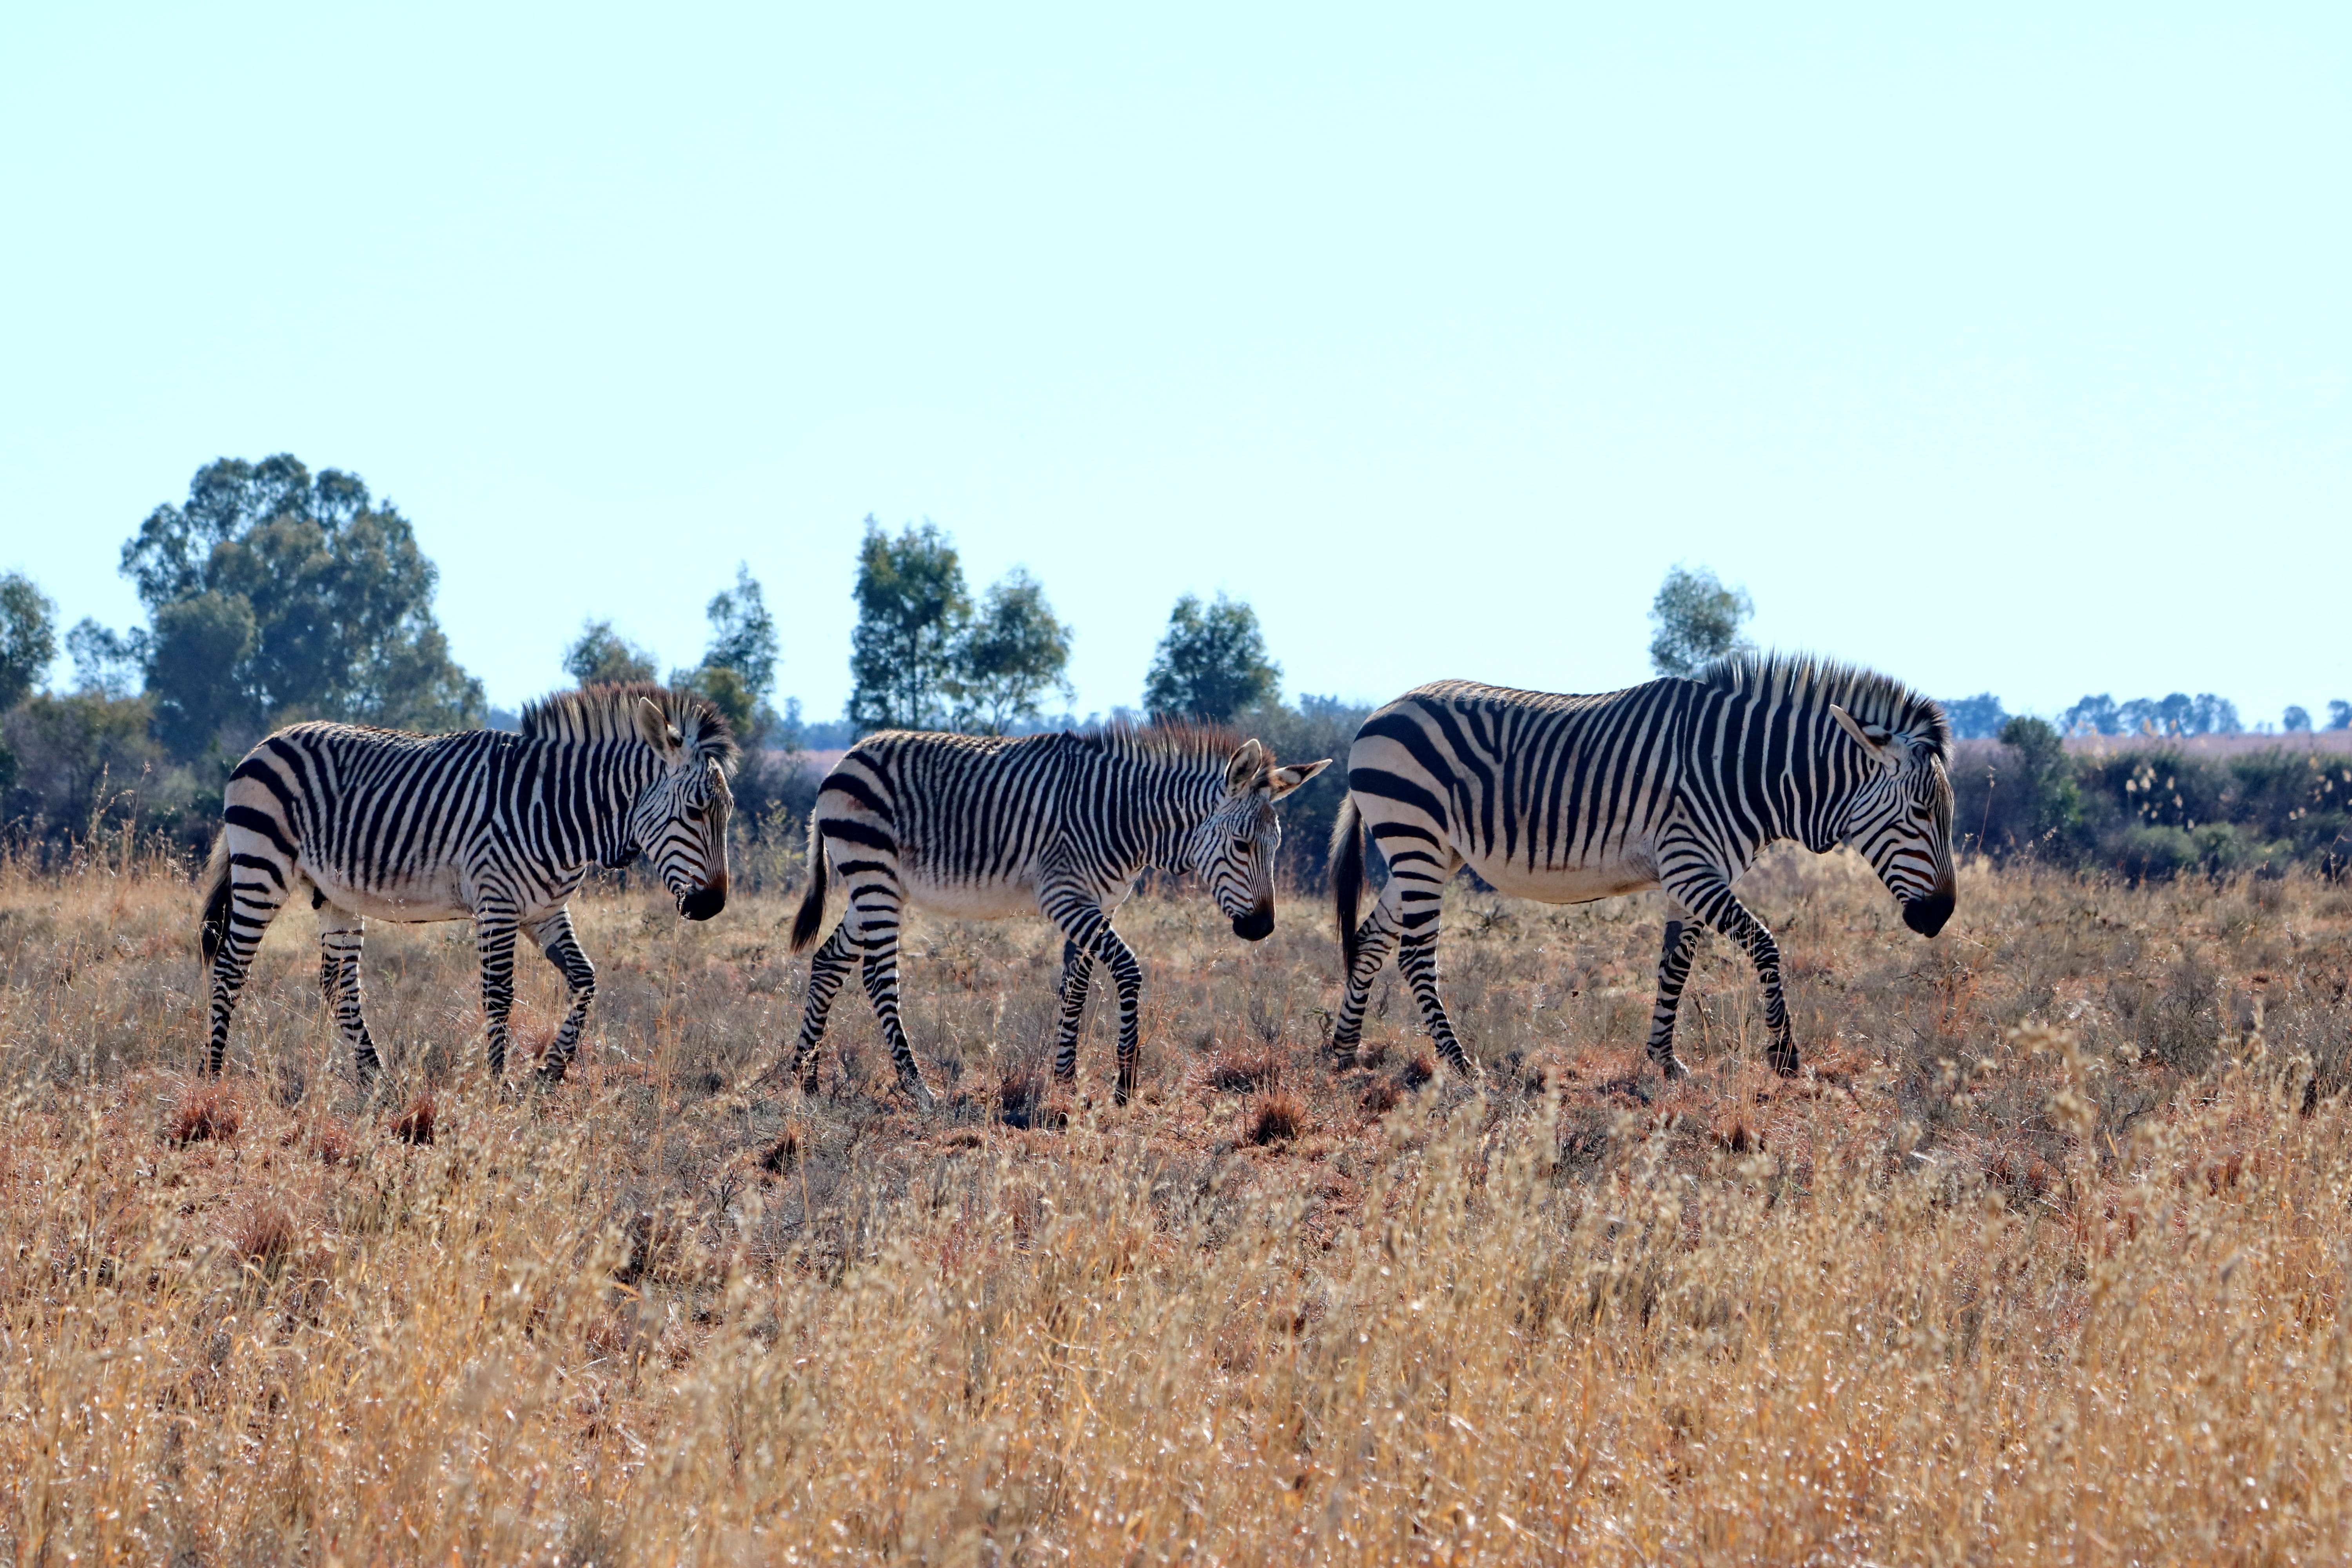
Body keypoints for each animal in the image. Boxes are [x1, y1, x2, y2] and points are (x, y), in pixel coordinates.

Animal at [197, 684, 736, 1084]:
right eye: (695, 811)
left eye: (728, 812)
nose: (712, 905)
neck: (560, 808)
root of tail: (267, 741)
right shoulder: (497, 904)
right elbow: (499, 993)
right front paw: (497, 1085)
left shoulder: (545, 911)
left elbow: (585, 979)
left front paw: (551, 1070)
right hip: (262, 866)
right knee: (230, 967)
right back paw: (212, 1074)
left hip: (332, 891)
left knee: (338, 983)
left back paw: (377, 1079)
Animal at [784, 726, 1329, 1106]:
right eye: (1241, 846)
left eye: (1276, 847)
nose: (1262, 928)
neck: (1126, 819)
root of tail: (846, 757)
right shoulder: (1065, 897)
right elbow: (1127, 969)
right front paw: (1125, 1084)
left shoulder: (1099, 902)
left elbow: (1076, 987)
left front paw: (1065, 1080)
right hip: (874, 874)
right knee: (879, 979)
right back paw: (919, 1090)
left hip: (875, 886)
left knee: (829, 961)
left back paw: (804, 1079)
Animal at [1328, 653, 1954, 1081]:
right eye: (1922, 813)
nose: (1942, 916)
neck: (1742, 766)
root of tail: (1380, 712)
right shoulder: (1691, 868)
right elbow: (1766, 945)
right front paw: (1783, 1055)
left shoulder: (1694, 876)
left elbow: (1674, 967)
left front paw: (1663, 1059)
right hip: (1417, 839)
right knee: (1415, 955)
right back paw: (1459, 1062)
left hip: (1428, 852)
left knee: (1371, 940)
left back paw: (1342, 1050)